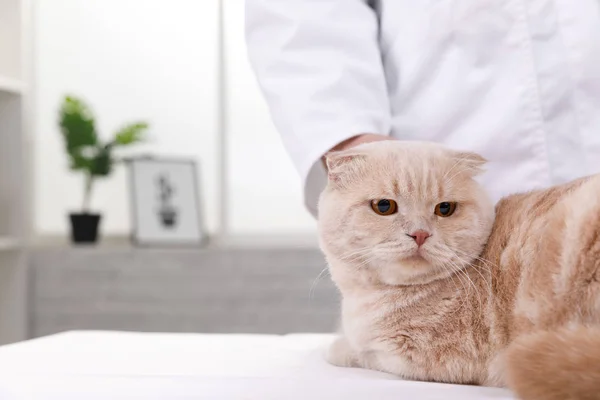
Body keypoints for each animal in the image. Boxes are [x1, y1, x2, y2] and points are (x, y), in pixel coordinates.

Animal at [322, 141, 600, 400]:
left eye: (445, 208)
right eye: (384, 206)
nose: (420, 234)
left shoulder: (421, 358)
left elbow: (360, 352)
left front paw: (339, 348)